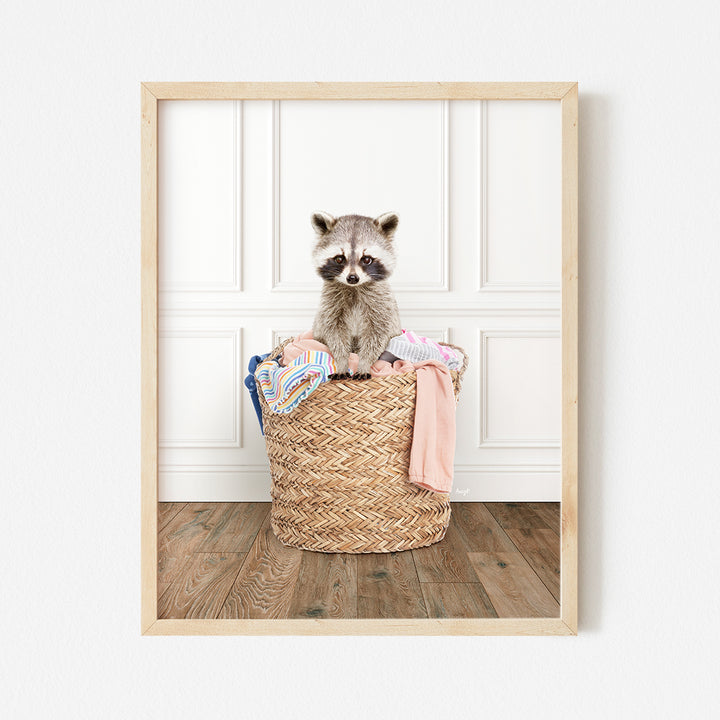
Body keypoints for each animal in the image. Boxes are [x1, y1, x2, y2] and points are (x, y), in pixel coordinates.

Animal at [310, 211, 404, 376]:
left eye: (366, 259)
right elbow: (334, 332)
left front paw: (364, 362)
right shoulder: (330, 304)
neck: (354, 288)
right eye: (339, 259)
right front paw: (342, 362)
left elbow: (377, 333)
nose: (352, 278)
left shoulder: (381, 303)